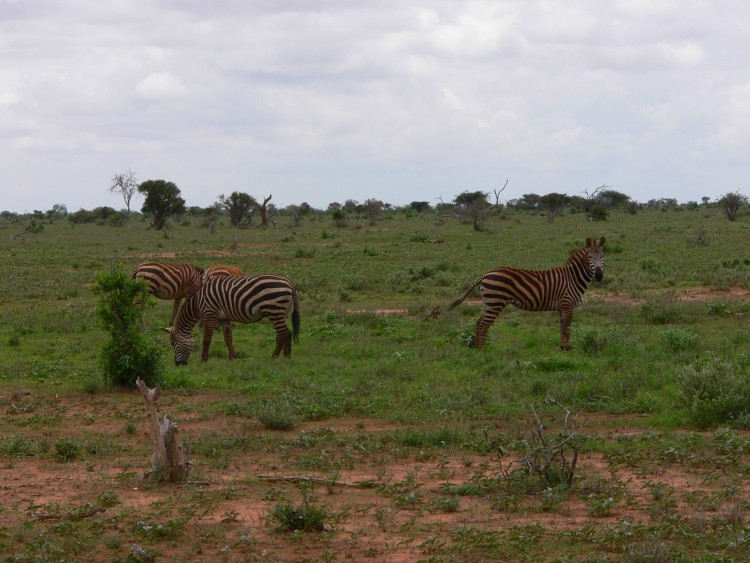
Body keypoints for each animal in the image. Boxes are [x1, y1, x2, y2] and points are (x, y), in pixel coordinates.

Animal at [166, 274, 302, 366]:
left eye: (173, 343)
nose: (179, 364)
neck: (197, 303)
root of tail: (288, 282)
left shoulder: (209, 314)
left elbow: (206, 340)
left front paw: (204, 359)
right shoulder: (224, 318)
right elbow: (228, 338)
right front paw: (232, 356)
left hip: (274, 310)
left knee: (286, 333)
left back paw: (286, 357)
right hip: (280, 312)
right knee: (280, 334)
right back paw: (275, 356)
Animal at [452, 236, 604, 350]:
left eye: (603, 256)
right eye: (590, 257)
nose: (599, 276)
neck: (573, 278)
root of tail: (485, 274)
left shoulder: (562, 307)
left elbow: (562, 327)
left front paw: (562, 348)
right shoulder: (567, 304)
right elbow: (567, 327)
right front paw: (567, 349)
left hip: (488, 303)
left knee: (479, 323)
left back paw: (477, 348)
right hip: (495, 302)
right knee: (483, 324)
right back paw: (482, 350)